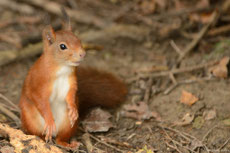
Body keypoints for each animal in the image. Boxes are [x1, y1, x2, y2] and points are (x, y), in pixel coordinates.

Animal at [19, 13, 127, 148]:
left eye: (78, 40)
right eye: (62, 46)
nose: (82, 54)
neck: (62, 68)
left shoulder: (71, 81)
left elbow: (71, 94)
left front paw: (73, 109)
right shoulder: (39, 82)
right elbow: (41, 101)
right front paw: (49, 120)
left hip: (68, 126)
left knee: (61, 138)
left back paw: (69, 144)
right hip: (30, 121)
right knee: (37, 134)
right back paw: (42, 139)